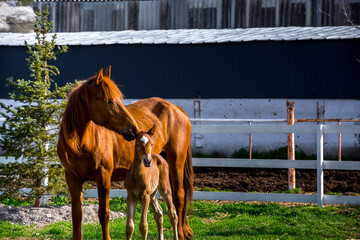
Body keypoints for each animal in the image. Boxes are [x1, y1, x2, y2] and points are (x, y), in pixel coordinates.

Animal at [57, 66, 193, 240]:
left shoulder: (103, 176)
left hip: (176, 161)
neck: (81, 143)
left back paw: (181, 232)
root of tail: (177, 109)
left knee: (179, 197)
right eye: (109, 101)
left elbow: (104, 214)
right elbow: (76, 216)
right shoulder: (72, 178)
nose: (134, 129)